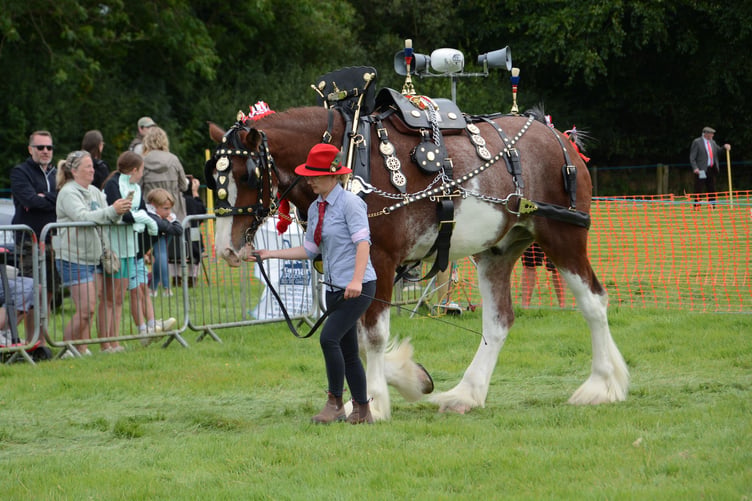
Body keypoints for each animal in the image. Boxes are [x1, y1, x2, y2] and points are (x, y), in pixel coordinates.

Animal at [205, 94, 629, 420]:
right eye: (214, 179)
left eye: (247, 175)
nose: (226, 248)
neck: (349, 159)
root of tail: (558, 137)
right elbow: (353, 337)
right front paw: (410, 377)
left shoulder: (380, 260)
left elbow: (372, 336)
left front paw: (375, 403)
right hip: (497, 250)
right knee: (498, 321)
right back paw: (466, 394)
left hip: (563, 236)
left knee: (594, 303)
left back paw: (603, 384)